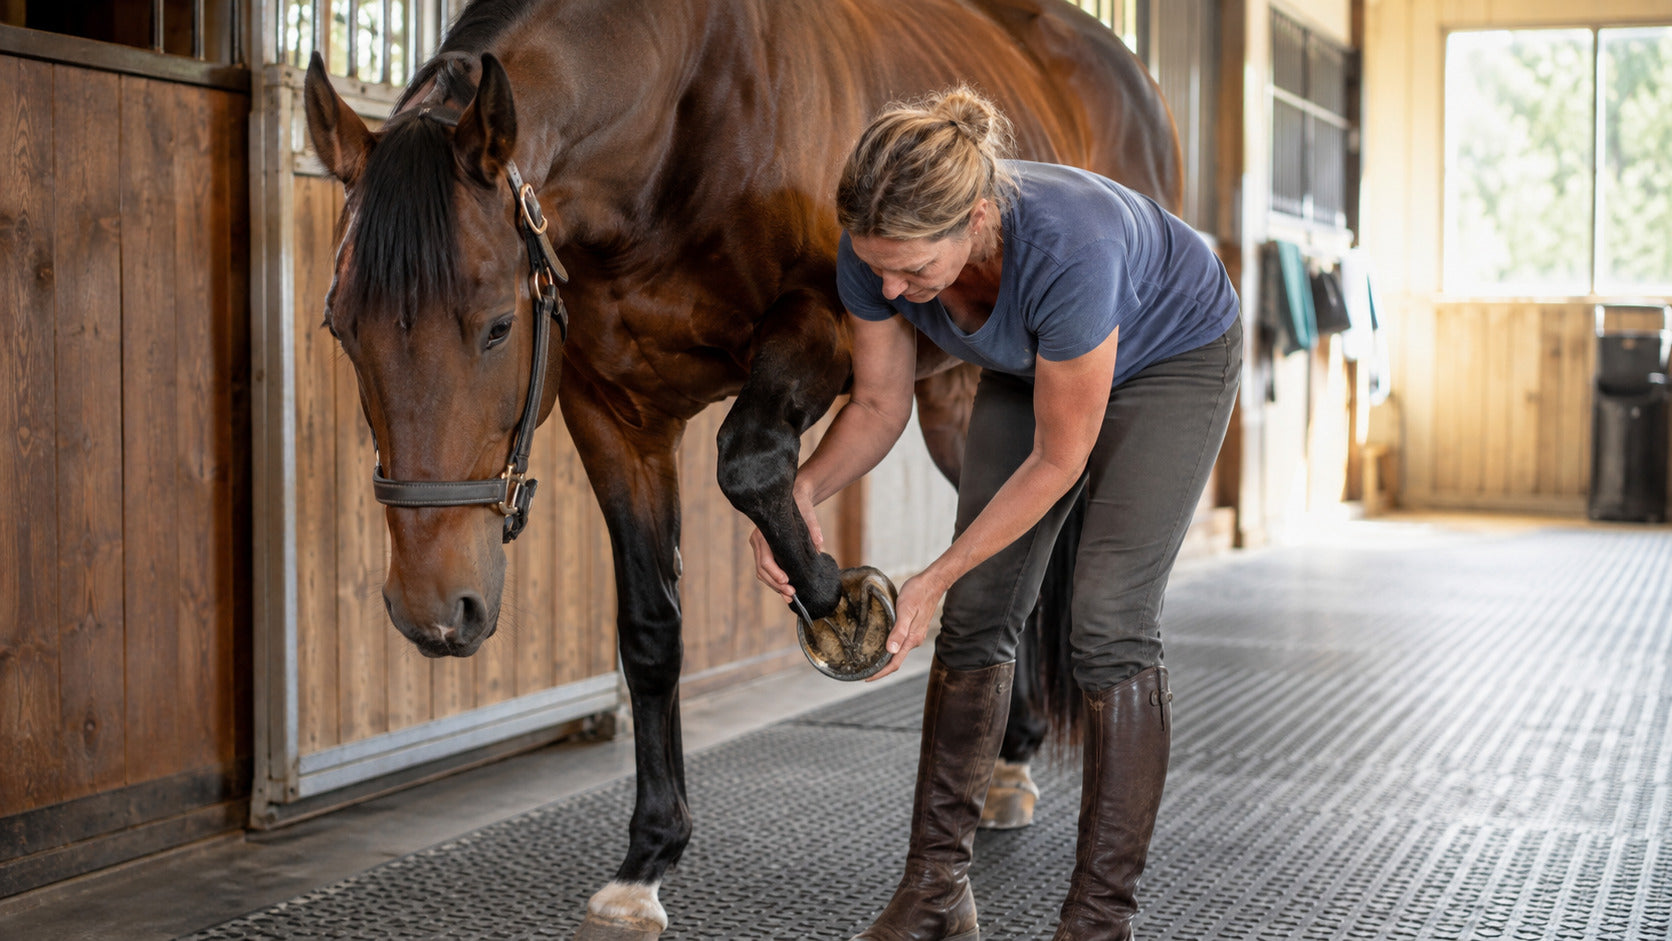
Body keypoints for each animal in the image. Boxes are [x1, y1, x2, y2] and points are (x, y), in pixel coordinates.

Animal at [302, 0, 1180, 935]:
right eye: (340, 326)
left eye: (498, 324)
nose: (436, 611)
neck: (680, 113)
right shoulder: (614, 416)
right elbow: (651, 631)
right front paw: (646, 862)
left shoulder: (825, 326)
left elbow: (750, 463)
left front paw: (830, 595)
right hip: (961, 401)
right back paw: (1007, 761)